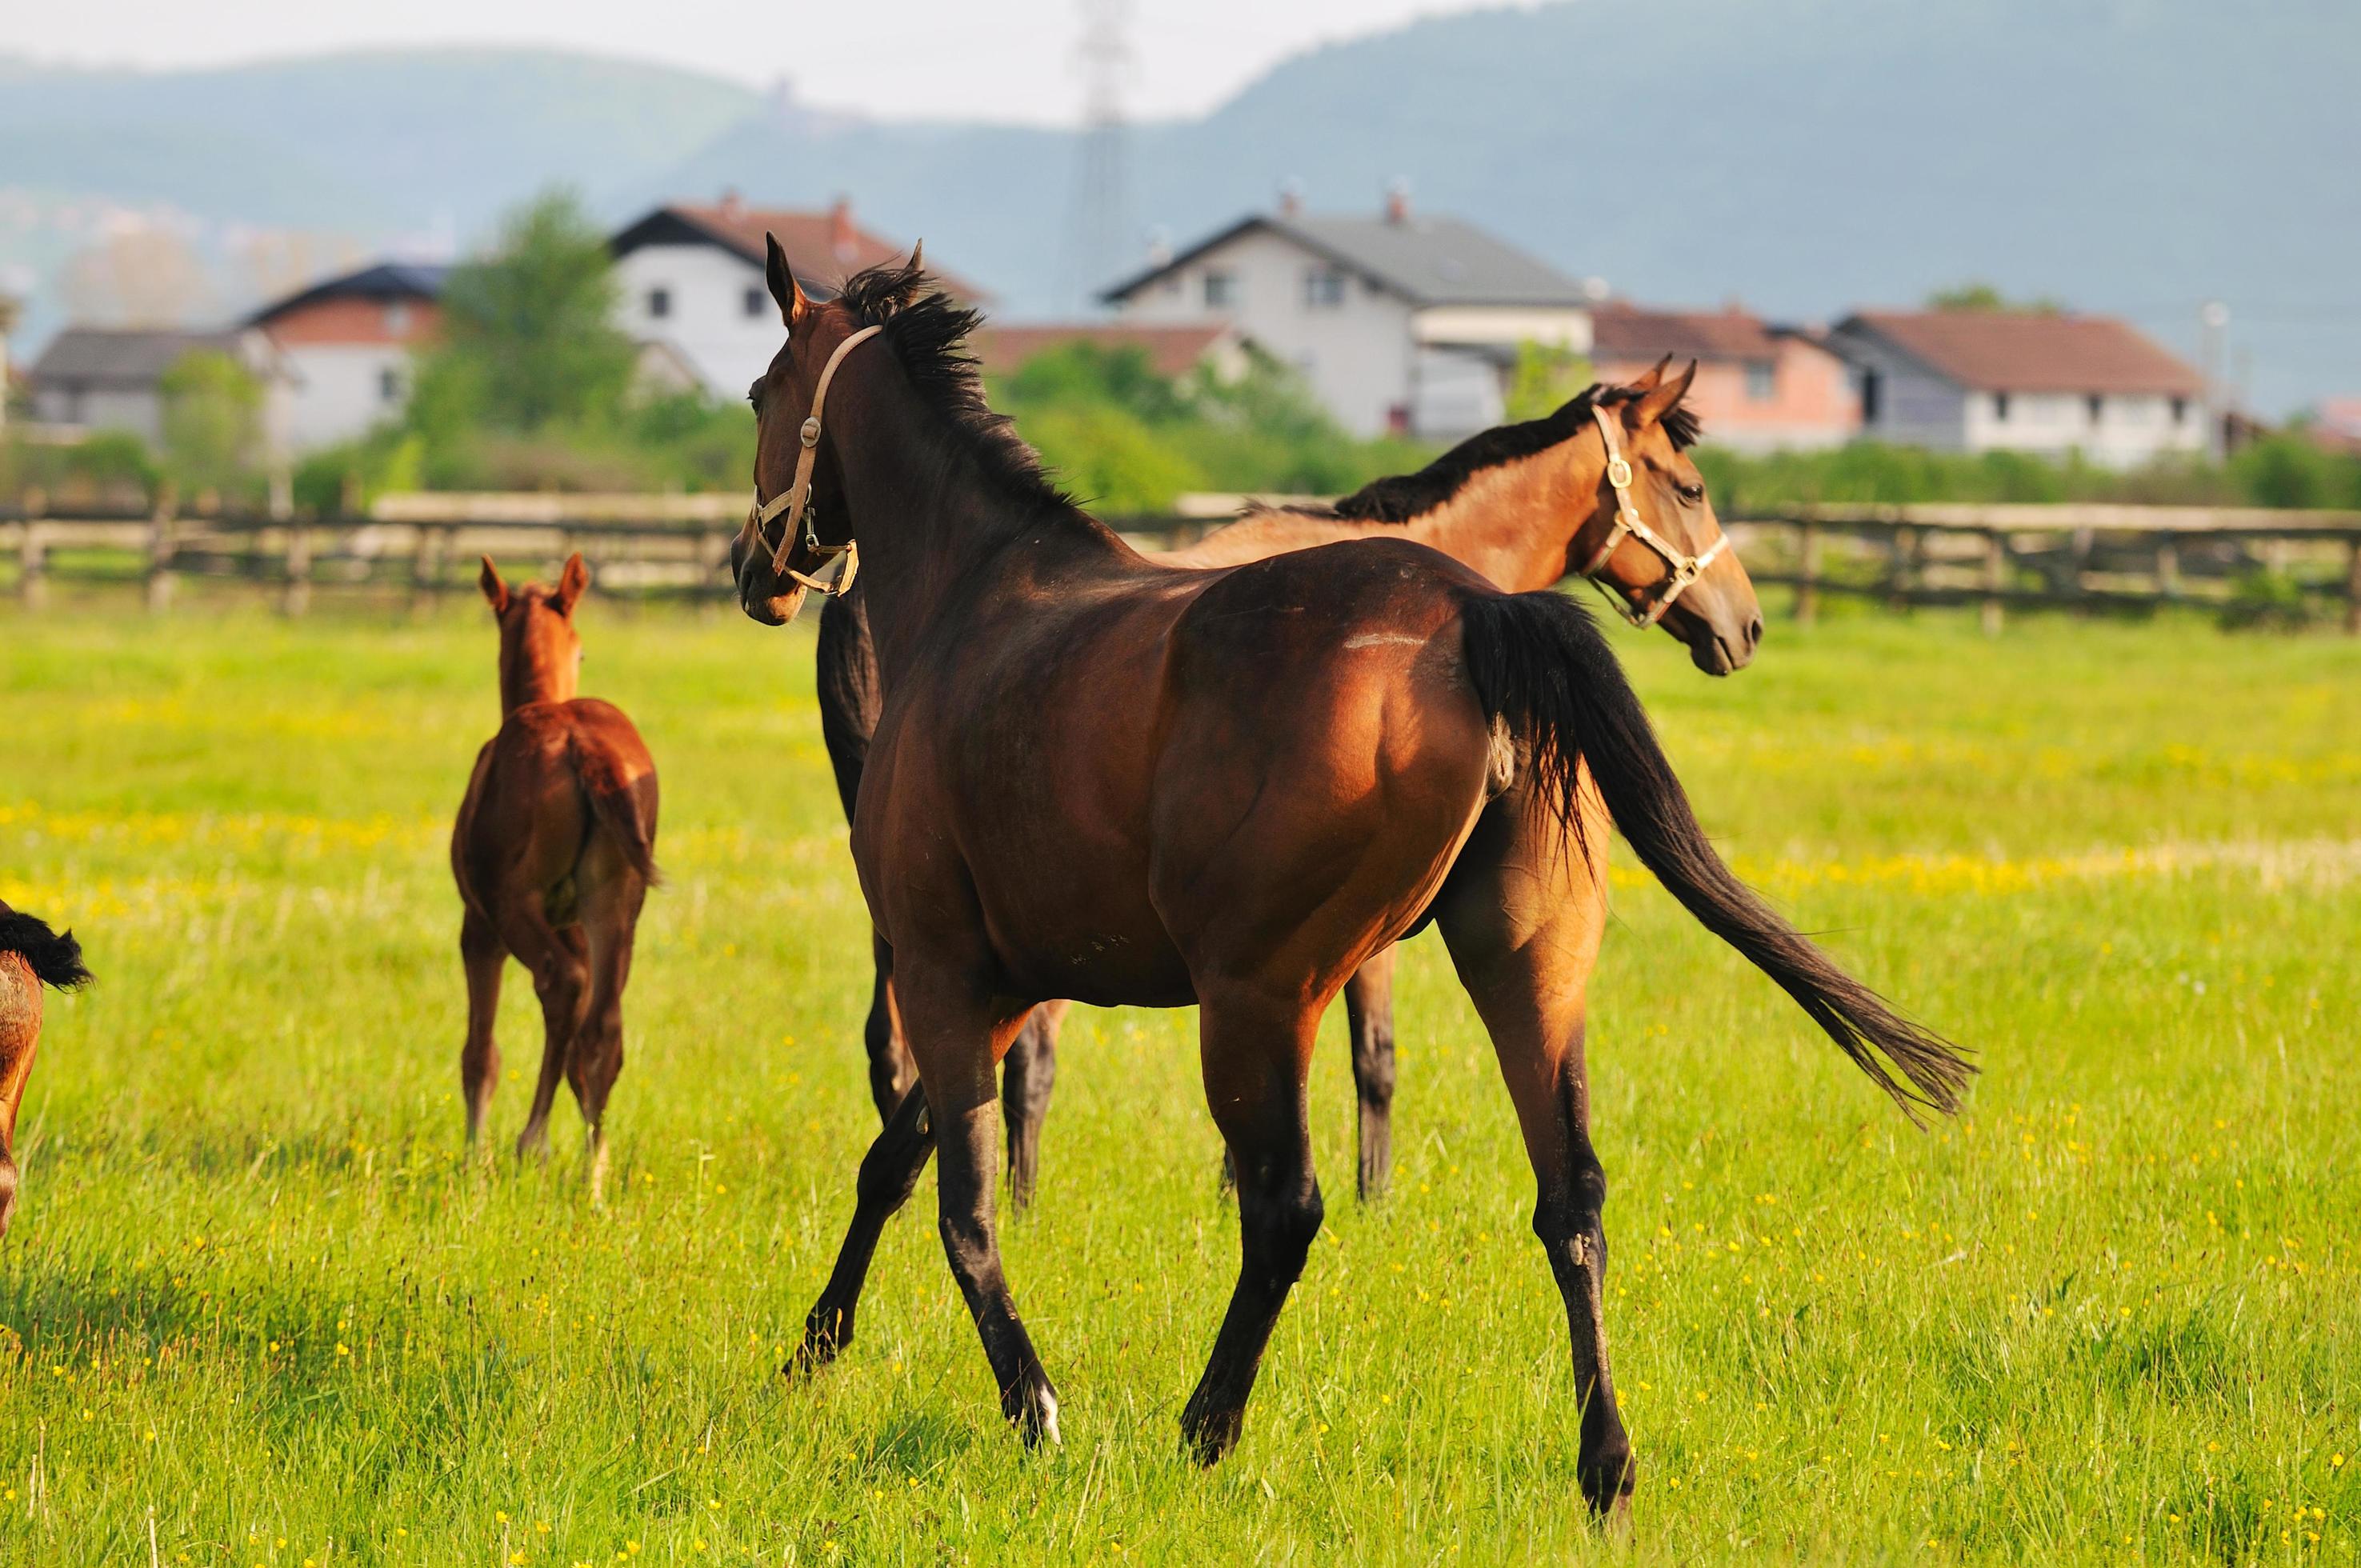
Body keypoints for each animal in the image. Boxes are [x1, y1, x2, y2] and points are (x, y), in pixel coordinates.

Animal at [453, 550, 661, 1190]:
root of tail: (582, 747)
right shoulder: (575, 924)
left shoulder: (478, 926)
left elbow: (481, 1051)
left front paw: (474, 1155)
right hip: (615, 905)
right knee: (602, 1029)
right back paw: (595, 1176)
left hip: (512, 906)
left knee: (560, 982)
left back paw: (532, 1142)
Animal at [821, 361, 1766, 1204]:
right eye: (1689, 487)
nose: (1747, 625)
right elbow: (1373, 1060)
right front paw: (1370, 1197)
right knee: (1023, 1054)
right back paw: (1016, 1202)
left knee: (900, 1044)